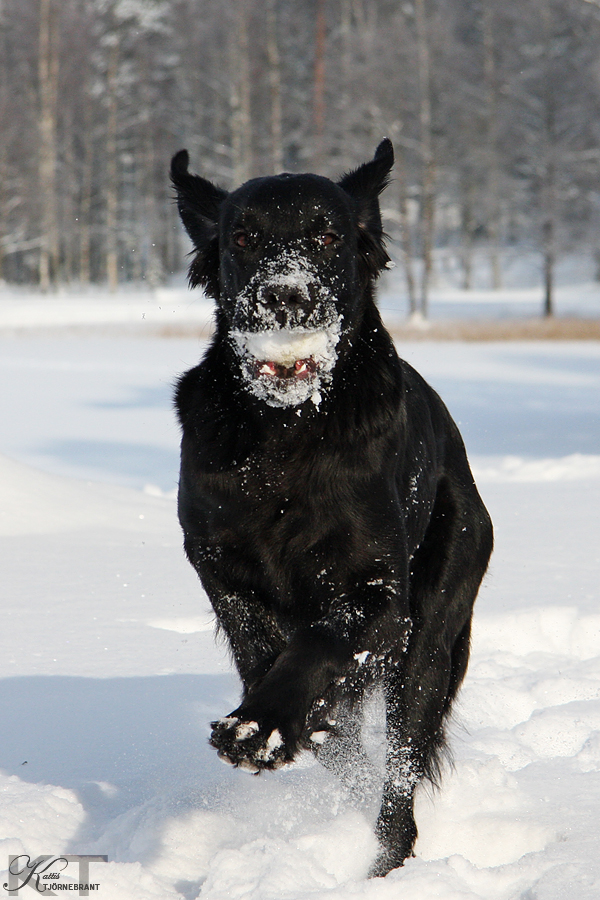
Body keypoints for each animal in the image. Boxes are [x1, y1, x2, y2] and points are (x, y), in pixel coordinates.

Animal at [170, 142, 492, 880]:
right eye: (242, 237)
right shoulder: (217, 565)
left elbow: (318, 643)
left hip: (431, 637)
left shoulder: (376, 592)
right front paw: (283, 721)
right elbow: (265, 649)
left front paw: (260, 727)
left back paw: (386, 865)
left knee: (398, 778)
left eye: (327, 235)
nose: (286, 294)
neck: (285, 431)